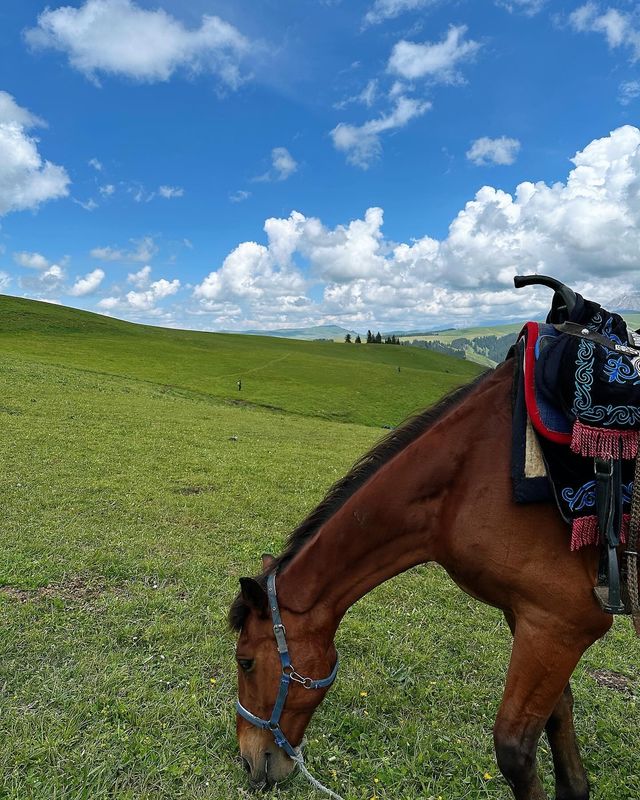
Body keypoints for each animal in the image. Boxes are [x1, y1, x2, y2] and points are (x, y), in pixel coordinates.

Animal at [228, 360, 616, 796]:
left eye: (245, 662)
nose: (247, 759)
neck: (468, 476)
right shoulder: (529, 617)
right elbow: (559, 714)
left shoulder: (563, 621)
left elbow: (514, 750)